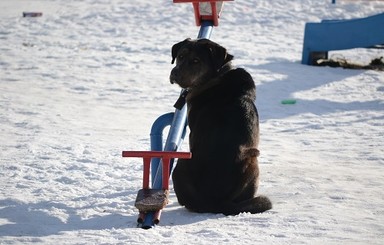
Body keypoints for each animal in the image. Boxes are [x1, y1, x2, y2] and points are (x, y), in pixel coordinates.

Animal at [170, 38, 272, 214]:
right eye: (180, 56)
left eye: (196, 61)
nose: (175, 73)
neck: (217, 76)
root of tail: (215, 201)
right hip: (252, 159)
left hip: (183, 162)